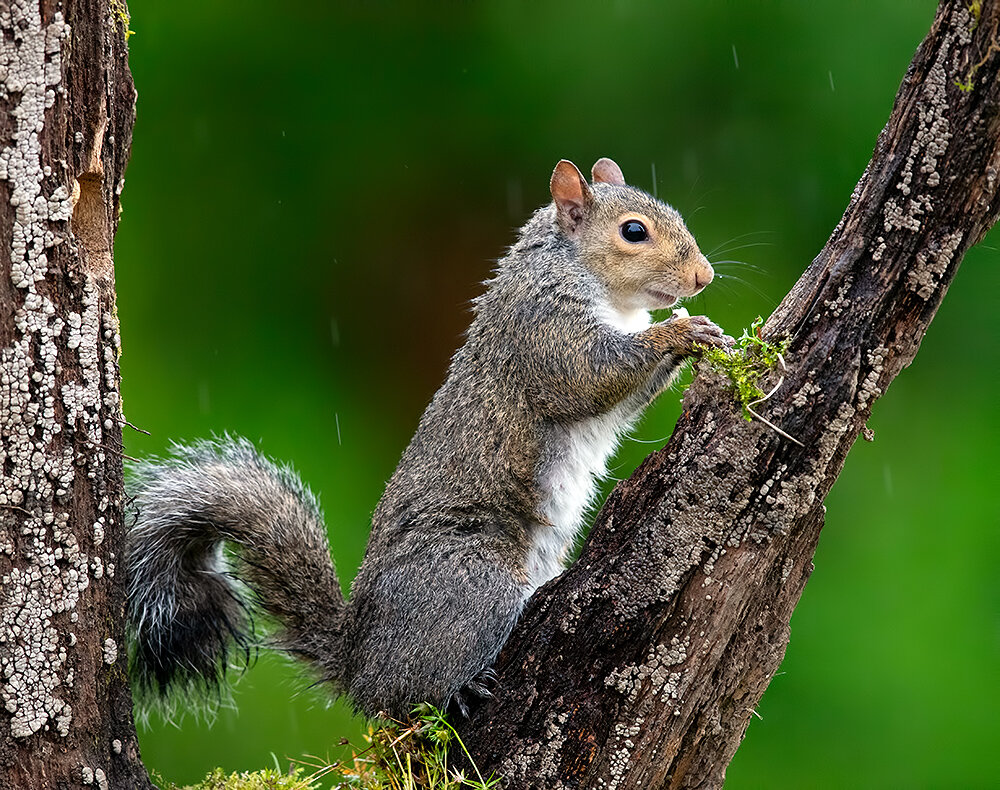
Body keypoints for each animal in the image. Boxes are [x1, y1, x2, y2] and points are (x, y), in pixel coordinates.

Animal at [125, 157, 728, 719]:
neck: (584, 275)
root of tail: (358, 660)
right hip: (474, 582)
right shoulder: (542, 328)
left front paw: (702, 333)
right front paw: (680, 330)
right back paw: (457, 689)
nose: (704, 278)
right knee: (409, 692)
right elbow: (590, 376)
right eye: (634, 231)